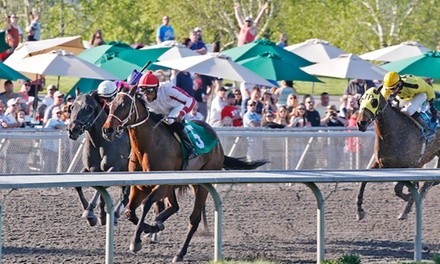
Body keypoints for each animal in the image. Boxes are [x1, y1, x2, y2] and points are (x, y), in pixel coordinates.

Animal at [101, 87, 266, 262]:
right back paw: (158, 223)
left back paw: (180, 253)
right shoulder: (139, 187)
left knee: (193, 219)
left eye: (125, 105)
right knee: (174, 206)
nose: (107, 130)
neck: (148, 145)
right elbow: (130, 212)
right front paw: (151, 228)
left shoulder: (163, 185)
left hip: (202, 185)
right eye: (110, 105)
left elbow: (146, 204)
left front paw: (136, 241)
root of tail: (217, 140)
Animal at [356, 87, 438, 221]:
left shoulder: (410, 166)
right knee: (428, 184)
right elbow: (364, 181)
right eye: (360, 101)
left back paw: (407, 209)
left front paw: (409, 196)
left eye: (374, 101)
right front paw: (359, 210)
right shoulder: (380, 163)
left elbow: (399, 188)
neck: (394, 133)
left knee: (427, 184)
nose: (360, 123)